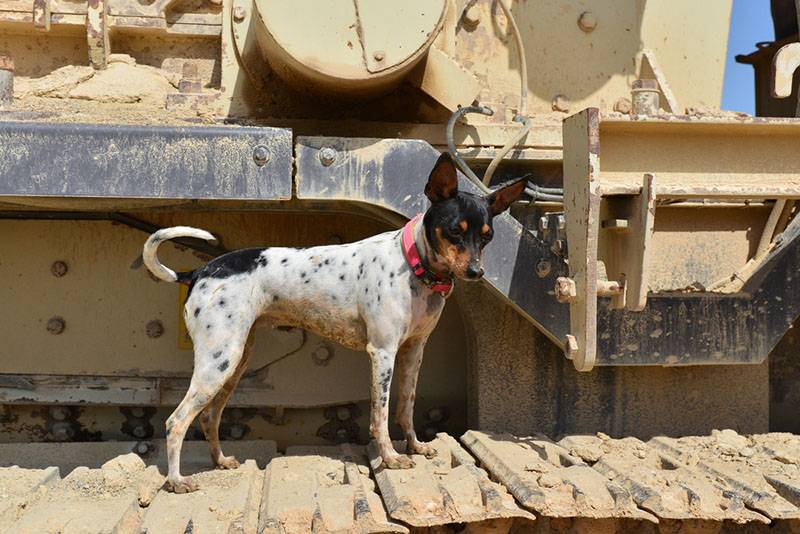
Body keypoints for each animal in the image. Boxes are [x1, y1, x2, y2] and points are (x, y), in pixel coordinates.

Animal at [143, 154, 528, 494]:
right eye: (453, 231)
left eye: (488, 236)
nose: (476, 272)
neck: (413, 264)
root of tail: (199, 271)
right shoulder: (382, 353)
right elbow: (380, 414)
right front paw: (390, 457)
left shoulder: (414, 351)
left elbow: (406, 405)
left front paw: (415, 446)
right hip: (219, 361)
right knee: (176, 421)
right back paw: (176, 481)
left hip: (235, 361)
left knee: (208, 416)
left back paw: (220, 461)